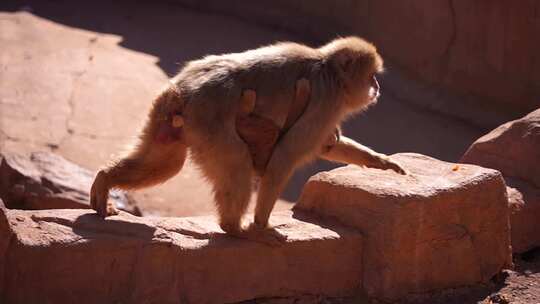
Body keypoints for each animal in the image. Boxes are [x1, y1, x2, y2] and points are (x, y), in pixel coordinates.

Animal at [92, 36, 404, 245]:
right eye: (371, 76)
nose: (376, 87)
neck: (328, 69)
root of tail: (181, 91)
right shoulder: (327, 101)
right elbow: (286, 155)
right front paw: (261, 226)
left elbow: (327, 145)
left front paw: (381, 162)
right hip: (210, 120)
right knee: (236, 163)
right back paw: (234, 227)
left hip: (165, 117)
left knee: (167, 162)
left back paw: (106, 178)